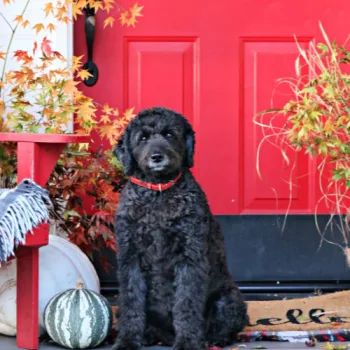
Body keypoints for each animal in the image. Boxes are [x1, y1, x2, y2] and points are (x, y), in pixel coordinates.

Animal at [113, 107, 247, 350]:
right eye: (143, 138)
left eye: (169, 134)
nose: (157, 157)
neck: (158, 193)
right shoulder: (130, 258)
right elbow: (131, 303)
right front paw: (127, 341)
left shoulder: (189, 258)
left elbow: (186, 303)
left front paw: (187, 342)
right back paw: (147, 335)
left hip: (229, 298)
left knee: (228, 326)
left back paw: (214, 339)